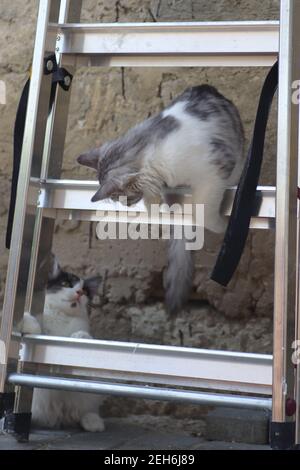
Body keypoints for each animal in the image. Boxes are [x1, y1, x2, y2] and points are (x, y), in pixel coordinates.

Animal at [17, 255, 105, 432]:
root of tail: (58, 418)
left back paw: (93, 422)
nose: (79, 293)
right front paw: (29, 322)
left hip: (89, 392)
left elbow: (82, 336)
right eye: (66, 283)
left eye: (85, 291)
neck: (62, 316)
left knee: (85, 411)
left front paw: (80, 337)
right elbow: (35, 327)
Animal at [77, 85, 244, 312]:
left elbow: (202, 210)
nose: (126, 204)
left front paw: (222, 226)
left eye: (119, 197)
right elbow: (161, 206)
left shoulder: (216, 171)